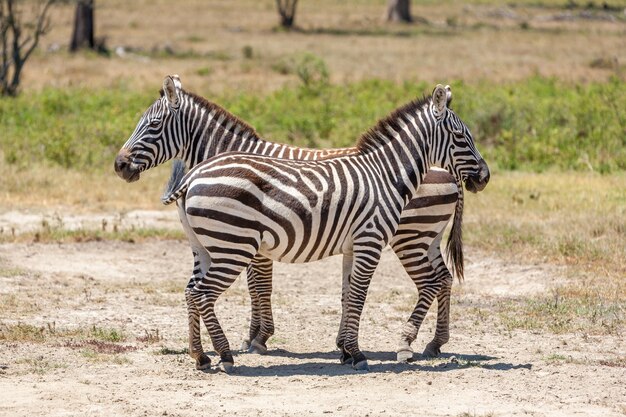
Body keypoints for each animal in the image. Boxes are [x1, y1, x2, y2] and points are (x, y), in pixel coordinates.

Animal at [114, 76, 488, 368]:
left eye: (153, 125)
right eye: (461, 136)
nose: (120, 165)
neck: (385, 172)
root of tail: (449, 175)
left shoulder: (342, 243)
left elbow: (328, 292)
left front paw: (265, 339)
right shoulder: (354, 241)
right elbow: (281, 288)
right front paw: (264, 339)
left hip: (415, 235)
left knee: (436, 280)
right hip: (418, 237)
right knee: (439, 279)